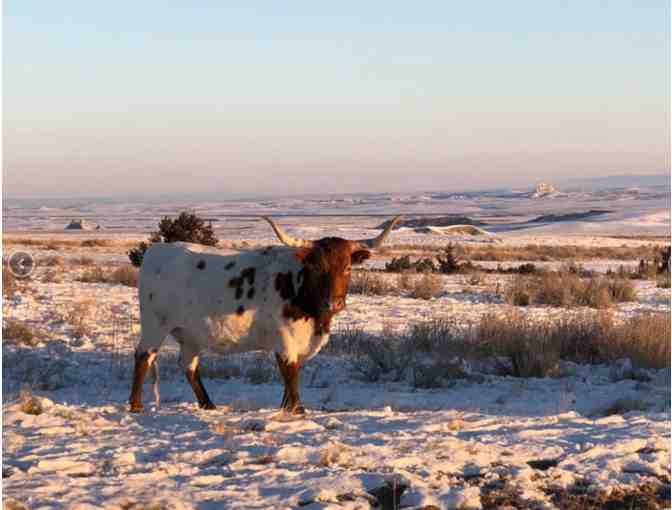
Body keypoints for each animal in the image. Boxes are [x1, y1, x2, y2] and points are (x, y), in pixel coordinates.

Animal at [128, 215, 402, 414]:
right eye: (316, 267)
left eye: (347, 267)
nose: (333, 303)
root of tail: (157, 250)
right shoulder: (286, 341)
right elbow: (291, 379)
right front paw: (297, 411)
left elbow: (291, 382)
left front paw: (286, 409)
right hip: (155, 325)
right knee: (143, 356)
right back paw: (136, 405)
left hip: (191, 335)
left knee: (189, 366)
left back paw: (209, 405)